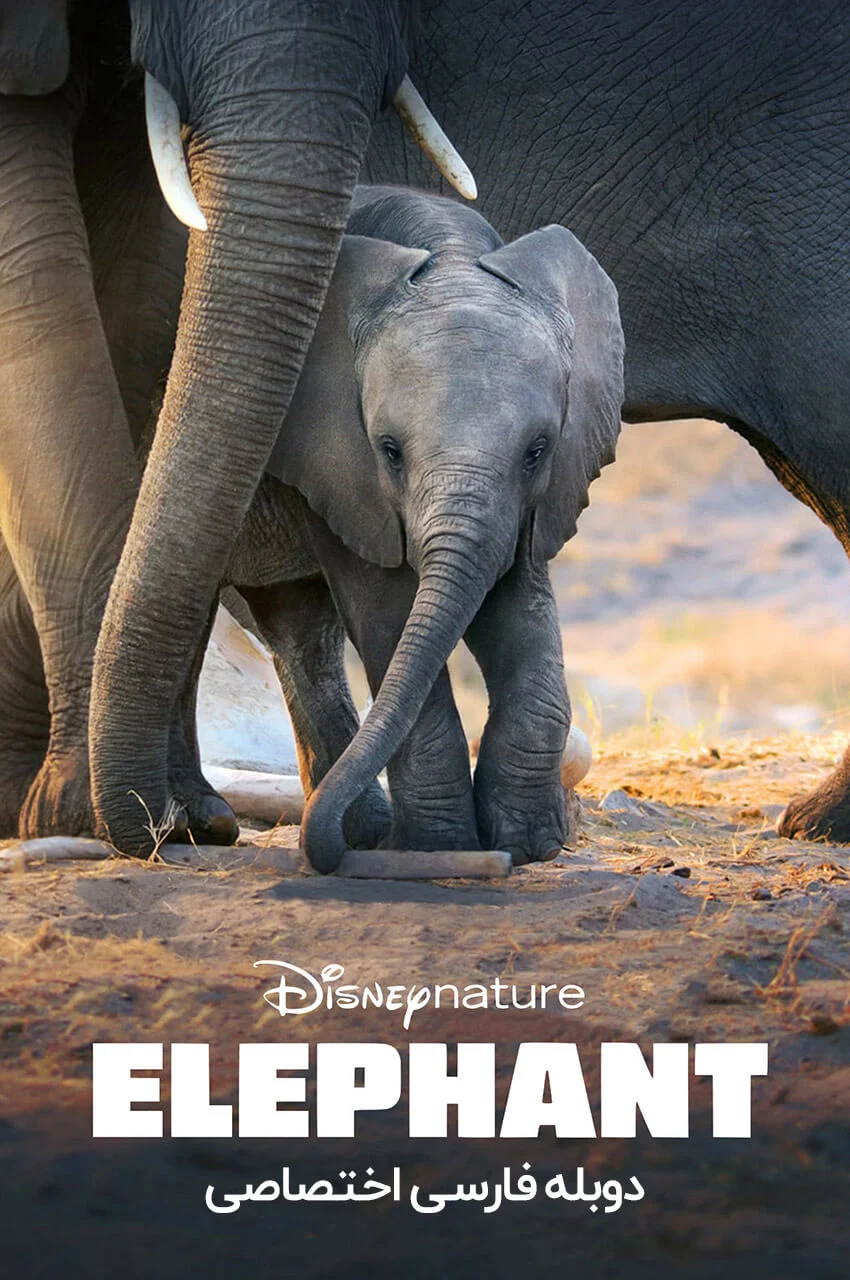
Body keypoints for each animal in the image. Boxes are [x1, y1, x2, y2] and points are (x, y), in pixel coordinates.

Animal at [218, 184, 621, 870]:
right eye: (390, 451)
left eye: (537, 451)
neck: (449, 253)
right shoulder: (336, 457)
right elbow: (386, 612)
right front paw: (440, 849)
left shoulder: (535, 500)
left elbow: (519, 605)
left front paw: (528, 846)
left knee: (297, 629)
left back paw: (360, 833)